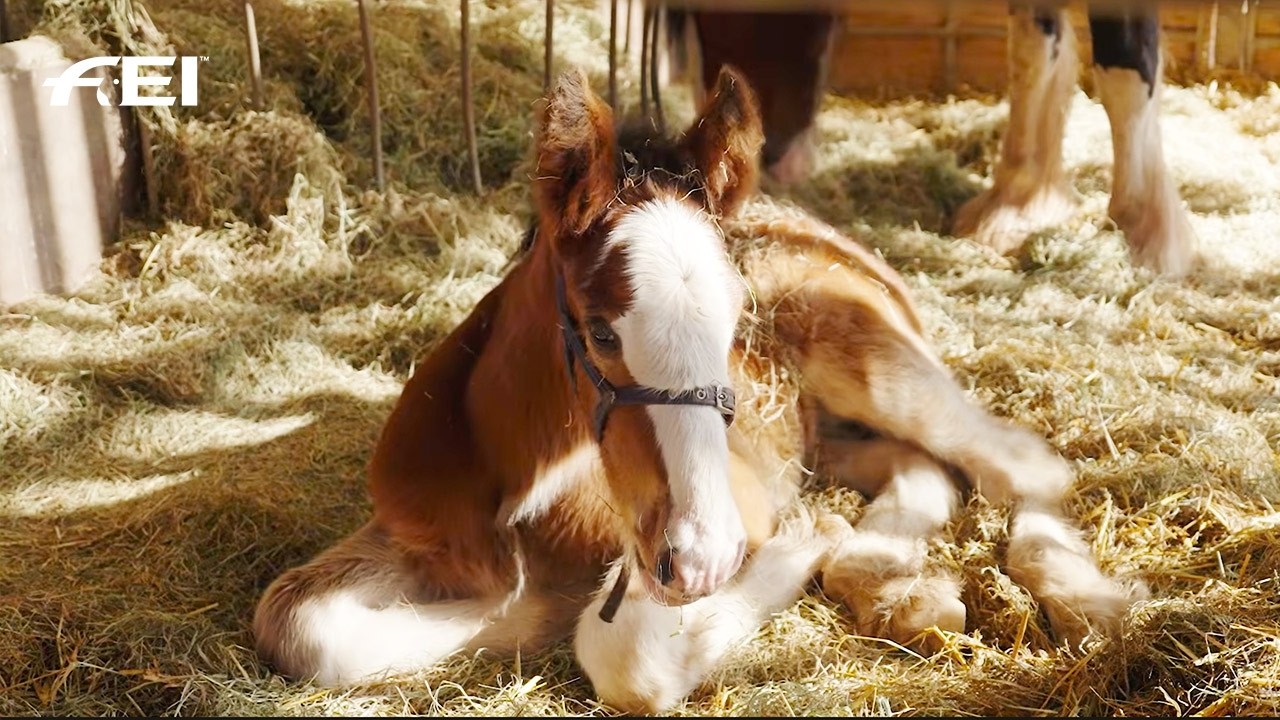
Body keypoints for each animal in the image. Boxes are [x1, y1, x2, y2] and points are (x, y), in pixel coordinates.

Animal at [252, 64, 1142, 714]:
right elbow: (301, 626)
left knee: (1022, 463)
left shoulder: (713, 518)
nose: (705, 555)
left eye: (736, 318)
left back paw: (1088, 604)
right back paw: (899, 590)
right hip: (827, 438)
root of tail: (817, 227)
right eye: (600, 330)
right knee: (926, 469)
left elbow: (624, 658)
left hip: (875, 365)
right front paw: (515, 612)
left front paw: (799, 543)